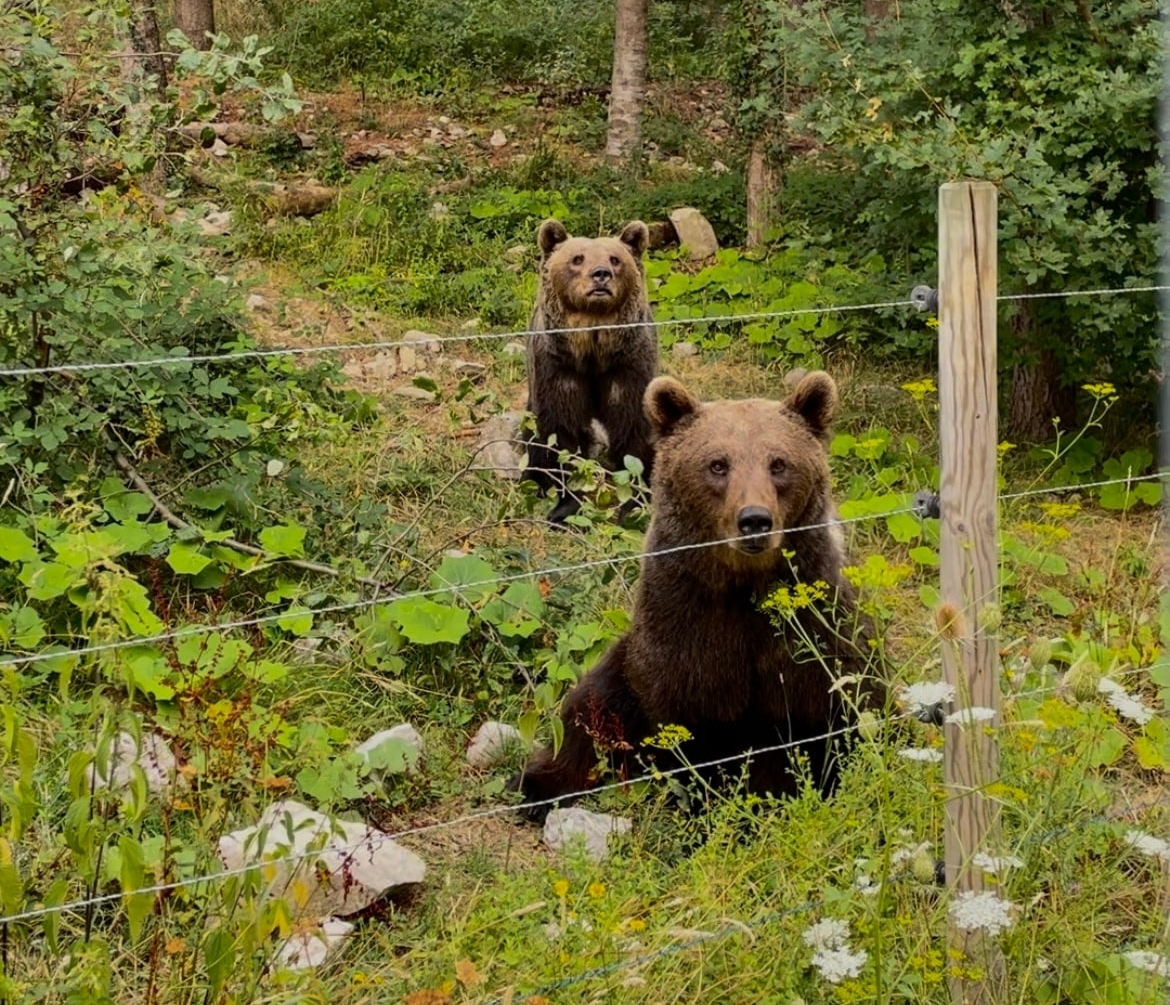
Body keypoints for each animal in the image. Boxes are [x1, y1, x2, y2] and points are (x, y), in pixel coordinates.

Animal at [517, 374, 879, 814]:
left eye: (779, 463)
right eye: (717, 464)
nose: (754, 520)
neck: (743, 585)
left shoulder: (814, 630)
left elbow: (837, 712)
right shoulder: (683, 626)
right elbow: (692, 726)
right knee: (586, 712)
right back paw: (539, 786)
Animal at [528, 217, 664, 526]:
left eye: (615, 259)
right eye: (577, 258)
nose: (601, 274)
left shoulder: (628, 365)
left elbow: (634, 427)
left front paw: (633, 506)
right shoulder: (558, 367)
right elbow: (560, 432)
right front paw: (564, 507)